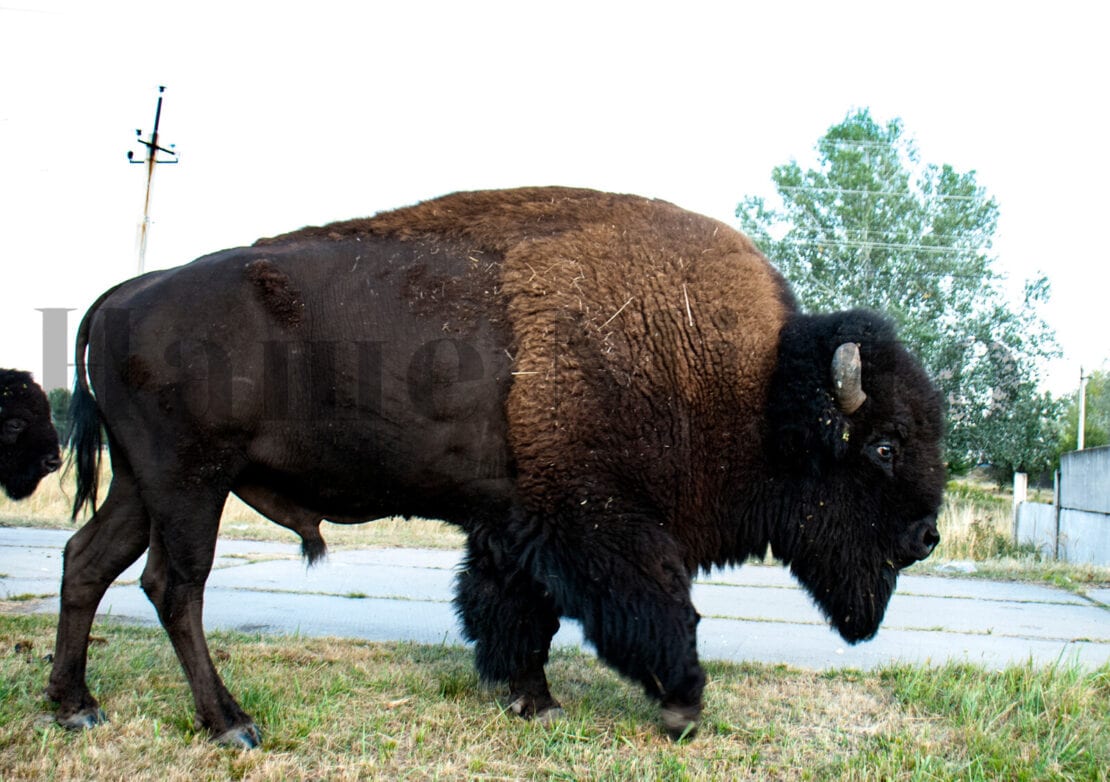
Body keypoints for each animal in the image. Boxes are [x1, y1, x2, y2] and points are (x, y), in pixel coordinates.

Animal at [52, 184, 945, 745]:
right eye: (886, 445)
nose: (928, 536)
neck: (757, 388)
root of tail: (124, 294)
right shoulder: (598, 525)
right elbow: (657, 608)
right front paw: (682, 705)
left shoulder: (516, 526)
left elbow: (514, 612)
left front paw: (531, 700)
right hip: (191, 482)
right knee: (175, 586)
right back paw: (232, 724)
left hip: (142, 485)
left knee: (87, 562)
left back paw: (75, 707)